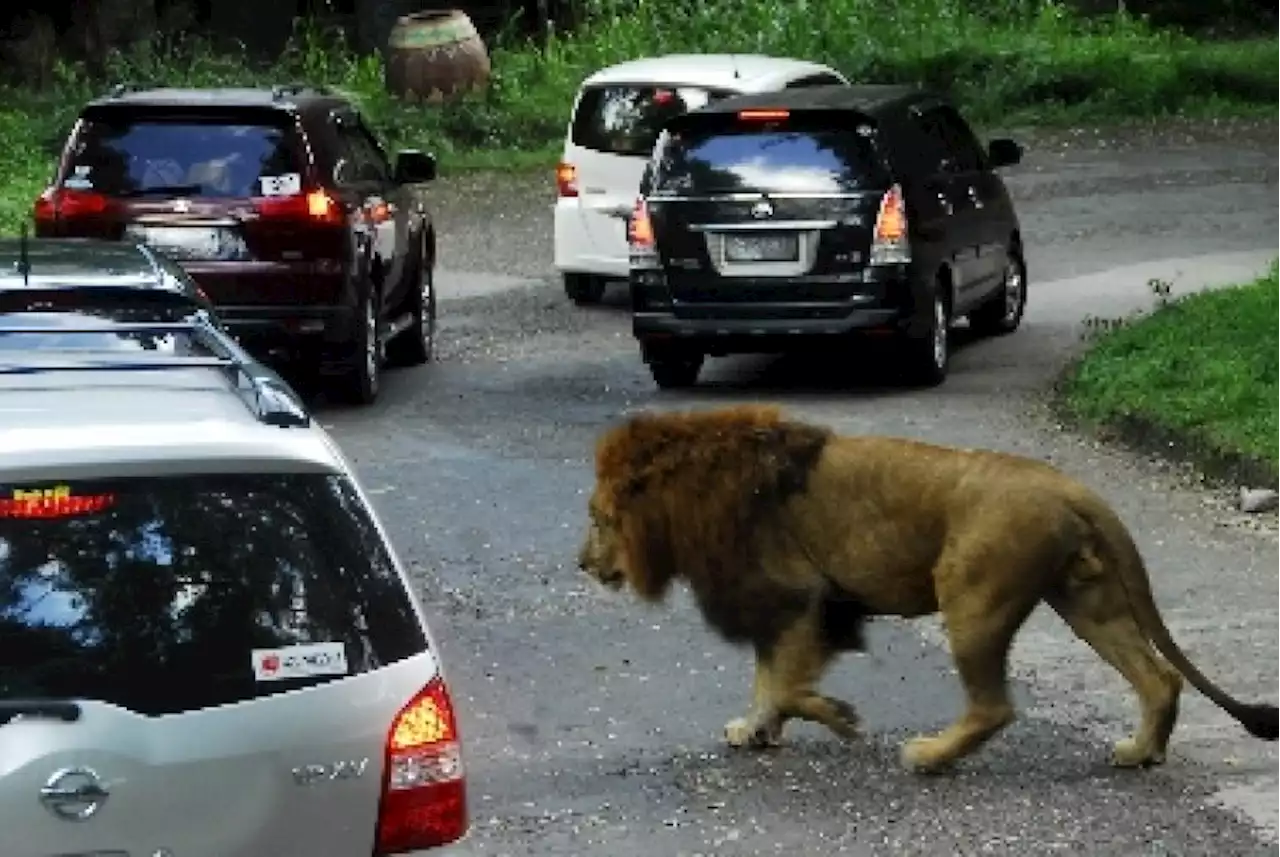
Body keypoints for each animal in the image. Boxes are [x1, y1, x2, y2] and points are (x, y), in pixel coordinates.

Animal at [581, 406, 1280, 777]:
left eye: (599, 517)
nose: (581, 564)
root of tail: (1069, 487)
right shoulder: (780, 610)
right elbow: (768, 679)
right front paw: (755, 728)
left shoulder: (802, 597)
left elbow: (784, 682)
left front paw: (838, 717)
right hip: (1089, 600)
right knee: (1159, 677)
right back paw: (1141, 751)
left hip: (970, 594)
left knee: (994, 707)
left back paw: (930, 756)